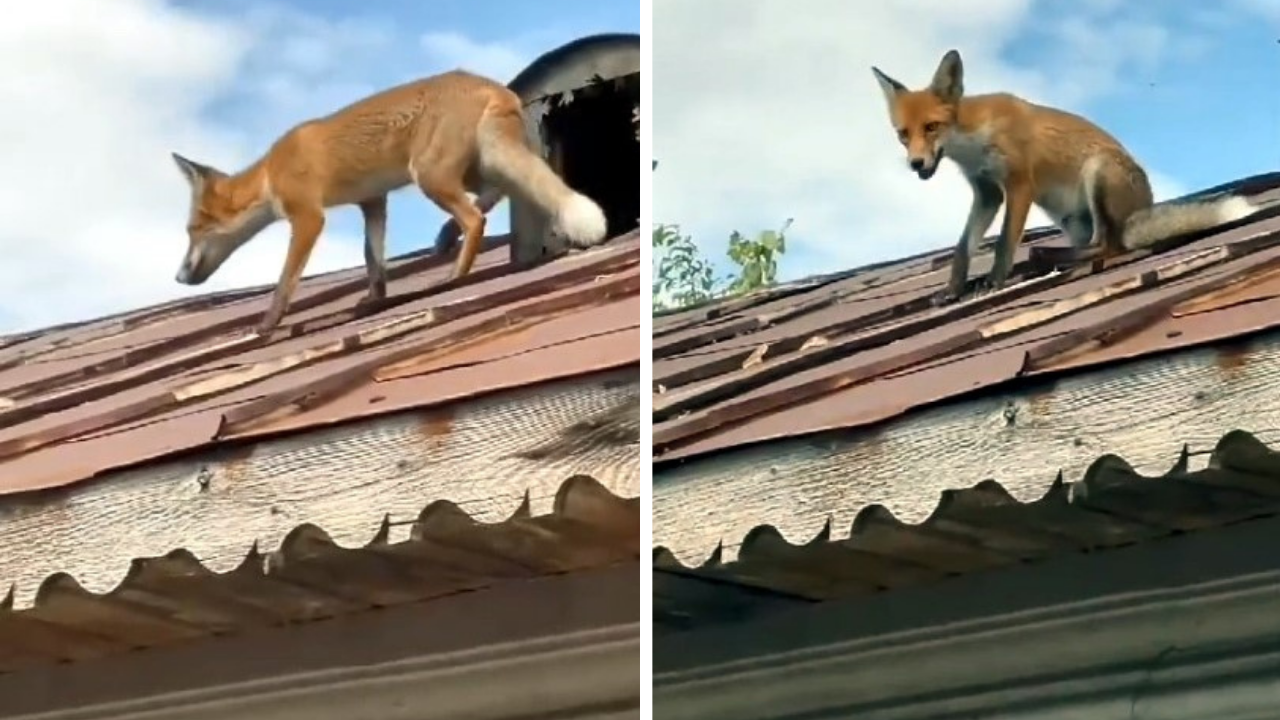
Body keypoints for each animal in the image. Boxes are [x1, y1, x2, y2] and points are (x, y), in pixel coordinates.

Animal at [174, 68, 609, 335]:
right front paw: (374, 299)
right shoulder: (372, 201)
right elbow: (373, 259)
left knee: (475, 219)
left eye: (192, 230)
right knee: (499, 193)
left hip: (431, 176)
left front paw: (268, 323)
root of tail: (490, 84)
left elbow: (285, 281)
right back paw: (446, 238)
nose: (179, 276)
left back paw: (454, 275)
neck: (269, 173)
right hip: (474, 169)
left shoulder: (308, 216)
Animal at [870, 47, 1259, 299]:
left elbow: (1004, 243)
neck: (973, 141)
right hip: (1072, 218)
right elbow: (963, 248)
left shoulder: (1019, 183)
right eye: (903, 134)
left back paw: (1048, 256)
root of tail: (1143, 207)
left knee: (1109, 246)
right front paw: (952, 289)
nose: (916, 164)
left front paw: (995, 282)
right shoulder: (987, 191)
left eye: (932, 127)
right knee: (1100, 245)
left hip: (1097, 171)